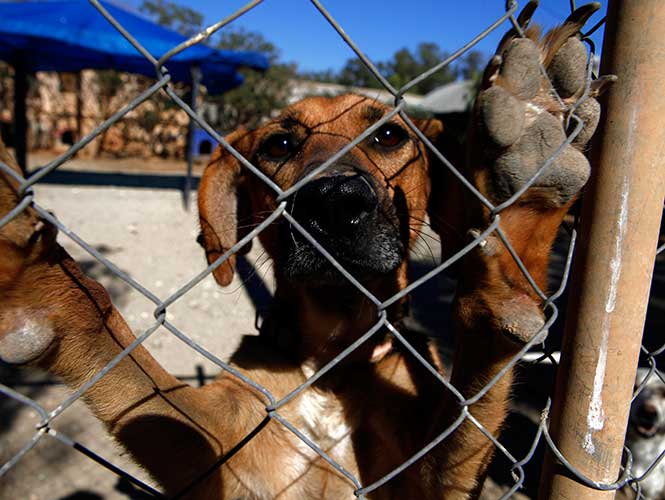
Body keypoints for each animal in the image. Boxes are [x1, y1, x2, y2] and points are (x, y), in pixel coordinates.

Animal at [0, 4, 612, 500]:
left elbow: (472, 405)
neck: (332, 362)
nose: (335, 202)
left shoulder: (429, 477)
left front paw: (523, 205)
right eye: (279, 144)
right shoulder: (217, 455)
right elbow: (130, 371)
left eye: (389, 136)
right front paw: (37, 287)